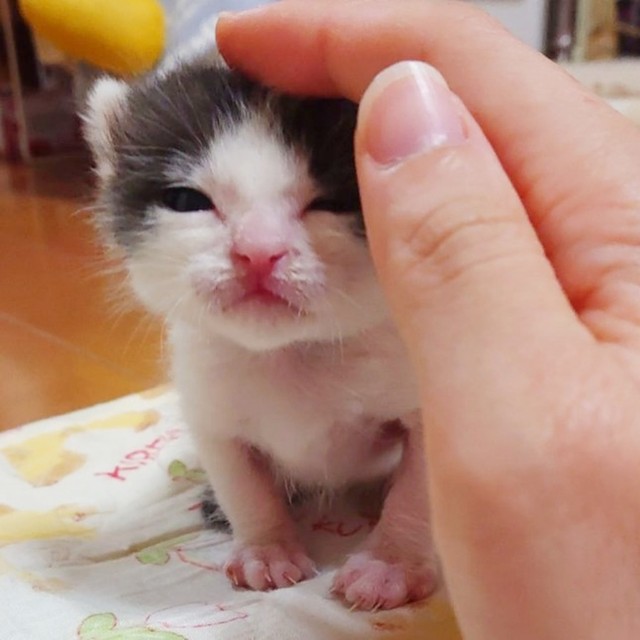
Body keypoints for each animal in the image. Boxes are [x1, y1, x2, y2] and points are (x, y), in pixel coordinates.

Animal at [82, 50, 438, 608]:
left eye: (331, 202)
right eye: (187, 201)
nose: (258, 251)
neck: (289, 353)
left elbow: (417, 485)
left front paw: (390, 564)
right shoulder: (210, 405)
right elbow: (242, 482)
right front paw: (265, 549)